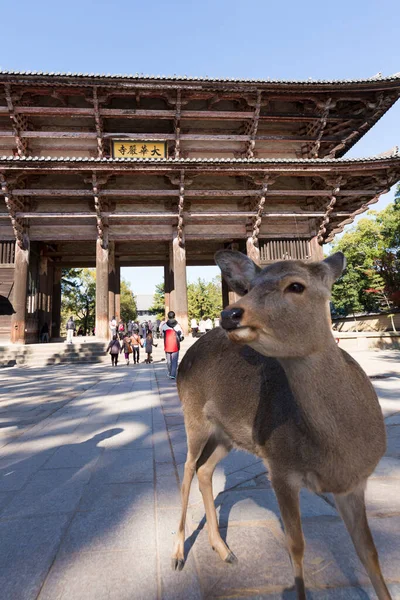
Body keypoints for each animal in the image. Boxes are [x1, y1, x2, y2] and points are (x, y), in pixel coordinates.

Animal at [172, 250, 390, 600]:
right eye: (248, 287)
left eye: (296, 286)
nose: (230, 313)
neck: (339, 451)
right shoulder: (280, 466)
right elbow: (296, 546)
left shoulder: (355, 484)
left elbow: (368, 552)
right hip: (193, 416)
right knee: (188, 469)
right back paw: (178, 554)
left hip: (227, 435)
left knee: (205, 470)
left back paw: (224, 550)